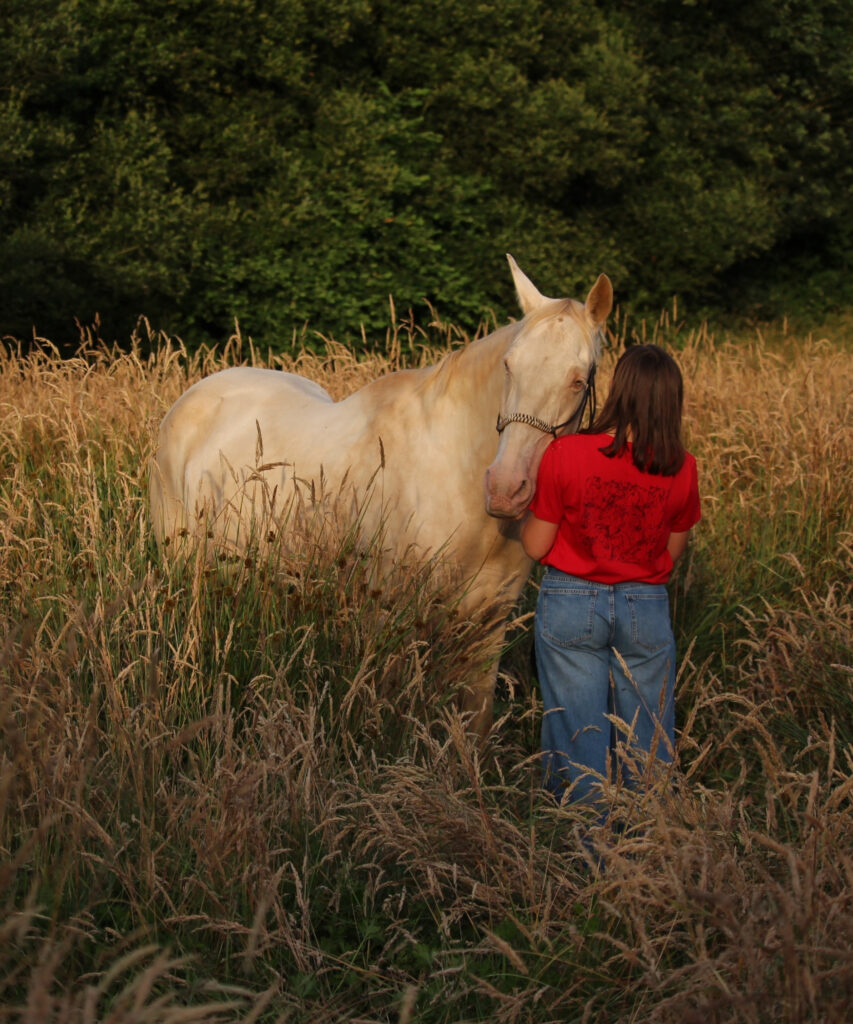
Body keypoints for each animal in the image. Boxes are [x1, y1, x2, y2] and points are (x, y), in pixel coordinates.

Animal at [149, 256, 612, 738]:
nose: (505, 488)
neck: (455, 475)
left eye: (580, 379)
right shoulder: (394, 619)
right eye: (509, 366)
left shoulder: (488, 626)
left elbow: (473, 732)